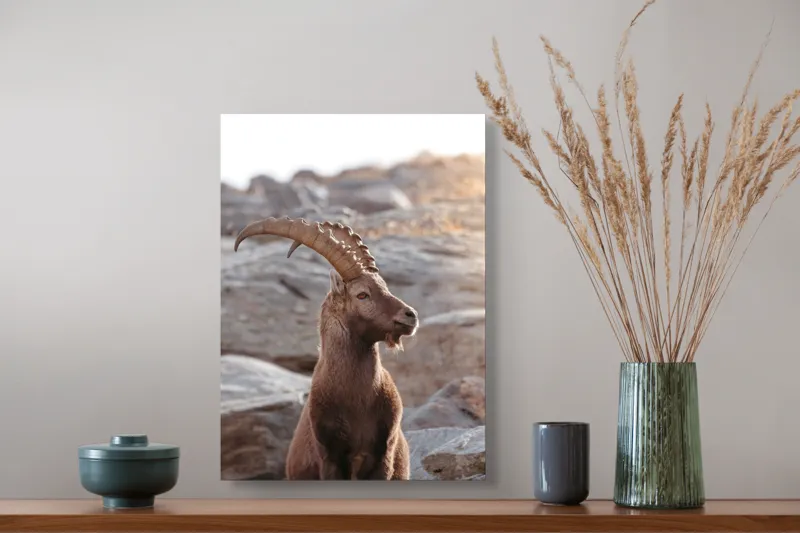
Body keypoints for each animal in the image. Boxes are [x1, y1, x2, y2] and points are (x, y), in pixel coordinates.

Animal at [234, 216, 418, 480]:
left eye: (385, 286)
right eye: (362, 295)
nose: (410, 315)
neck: (357, 399)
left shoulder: (384, 456)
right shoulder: (330, 457)